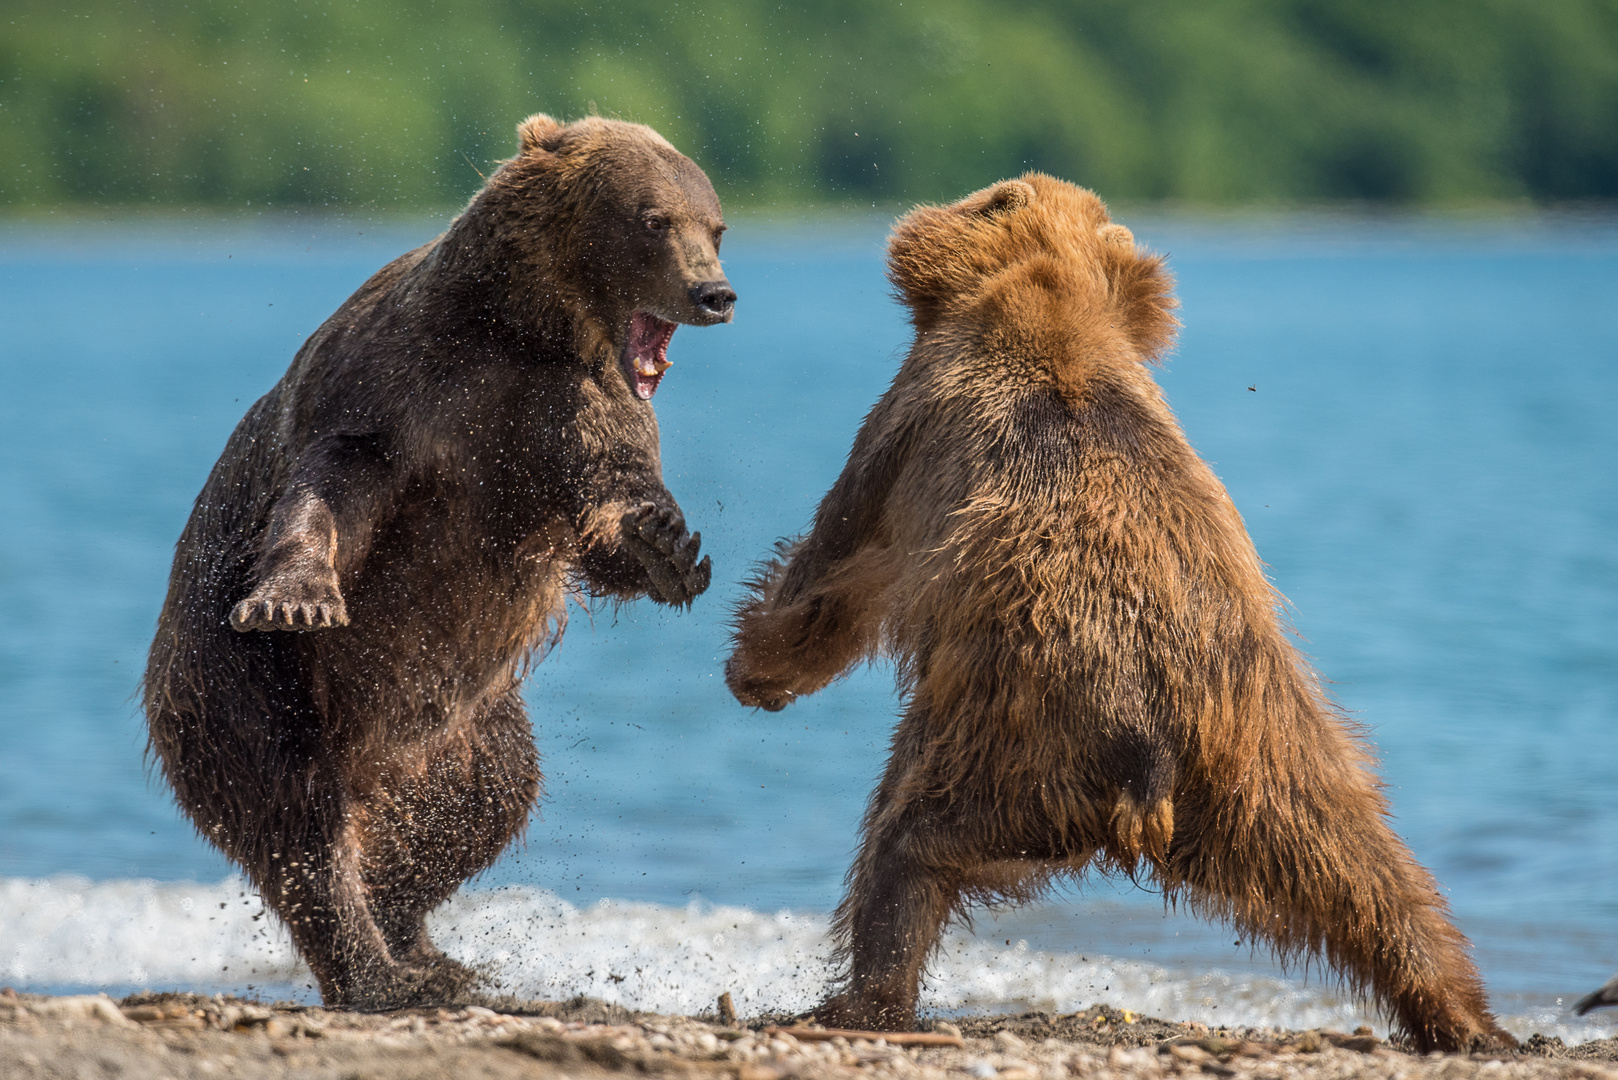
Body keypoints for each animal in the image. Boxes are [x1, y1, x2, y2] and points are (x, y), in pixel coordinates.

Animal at [142, 116, 737, 1016]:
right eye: (653, 219)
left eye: (717, 225)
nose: (715, 293)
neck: (523, 328)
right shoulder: (401, 391)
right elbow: (331, 485)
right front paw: (297, 598)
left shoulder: (570, 414)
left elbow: (616, 511)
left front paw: (668, 546)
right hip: (242, 685)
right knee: (298, 820)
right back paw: (378, 974)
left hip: (466, 727)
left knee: (483, 804)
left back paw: (427, 951)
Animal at [728, 173, 1507, 1049]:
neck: (1055, 300)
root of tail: (1150, 756)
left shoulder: (909, 426)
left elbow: (834, 568)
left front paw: (755, 668)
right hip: (1267, 751)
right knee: (1362, 871)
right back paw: (1464, 1014)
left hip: (1011, 739)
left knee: (905, 849)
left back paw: (859, 1001)